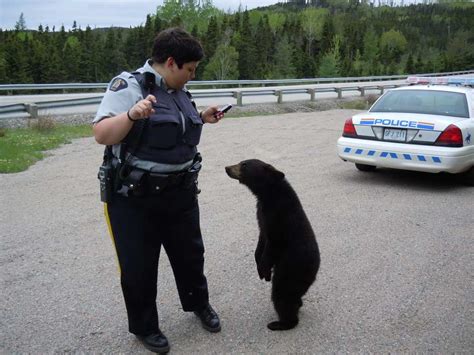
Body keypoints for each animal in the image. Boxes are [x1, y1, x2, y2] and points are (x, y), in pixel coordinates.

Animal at [224, 160, 320, 332]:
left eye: (244, 165)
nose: (226, 168)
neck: (268, 194)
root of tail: (315, 271)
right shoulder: (261, 214)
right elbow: (261, 237)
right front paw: (259, 265)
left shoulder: (278, 217)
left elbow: (273, 243)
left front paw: (263, 269)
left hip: (291, 269)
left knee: (281, 293)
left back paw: (280, 323)